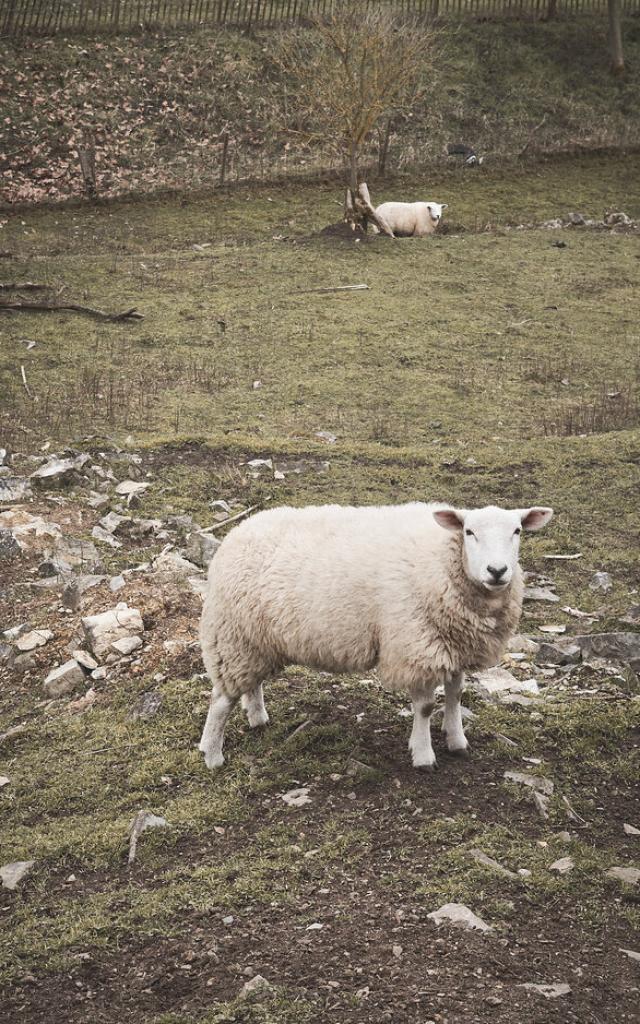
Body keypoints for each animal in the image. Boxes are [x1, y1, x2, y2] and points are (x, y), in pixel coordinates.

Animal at [197, 499, 552, 770]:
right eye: (469, 532)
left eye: (517, 530)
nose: (497, 571)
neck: (443, 560)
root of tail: (237, 532)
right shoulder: (416, 645)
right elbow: (425, 707)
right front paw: (423, 755)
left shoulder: (453, 645)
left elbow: (456, 694)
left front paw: (457, 740)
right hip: (230, 636)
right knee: (220, 700)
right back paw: (212, 754)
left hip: (254, 639)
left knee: (252, 683)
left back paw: (258, 717)